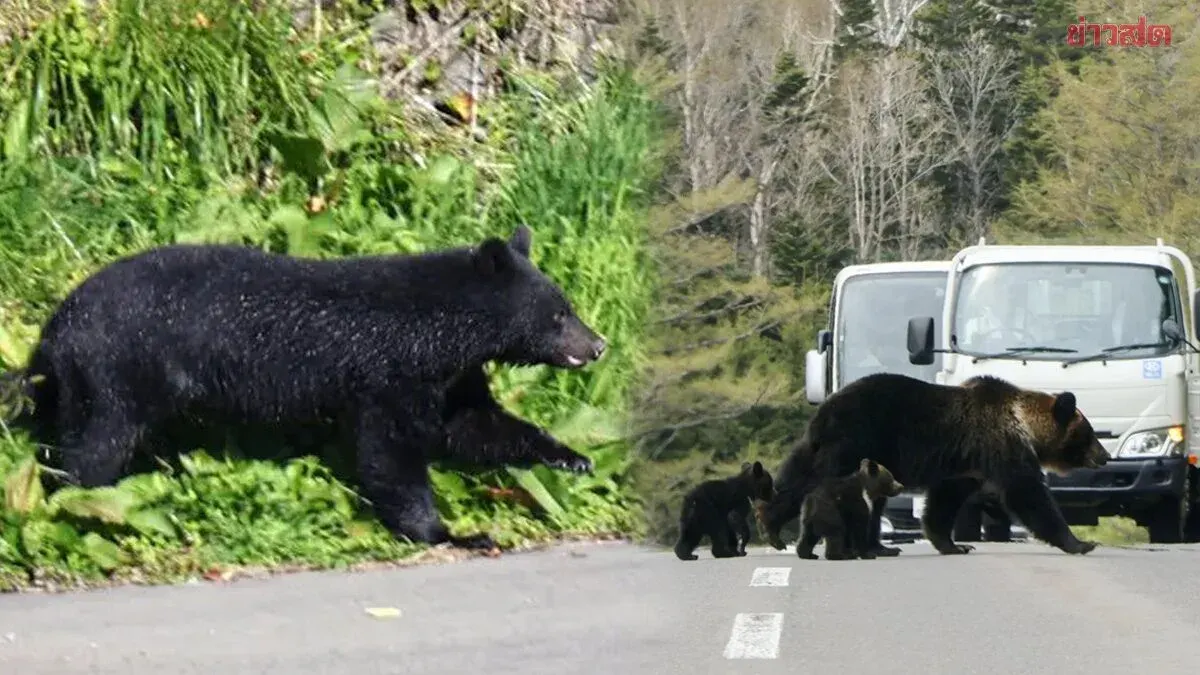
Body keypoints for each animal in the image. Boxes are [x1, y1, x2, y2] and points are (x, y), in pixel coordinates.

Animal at [0, 225, 607, 552]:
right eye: (558, 315)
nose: (598, 344)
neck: (439, 329)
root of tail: (53, 332)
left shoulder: (451, 378)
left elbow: (476, 424)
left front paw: (571, 457)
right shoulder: (389, 375)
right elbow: (391, 454)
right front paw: (449, 532)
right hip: (116, 371)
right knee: (94, 448)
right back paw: (80, 510)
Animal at [758, 372, 1110, 557]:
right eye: (1089, 433)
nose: (1104, 456)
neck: (1023, 423)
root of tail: (825, 408)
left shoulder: (967, 466)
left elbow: (945, 499)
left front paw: (953, 544)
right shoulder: (1000, 447)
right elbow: (1027, 493)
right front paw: (1080, 542)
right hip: (853, 441)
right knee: (815, 481)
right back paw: (775, 528)